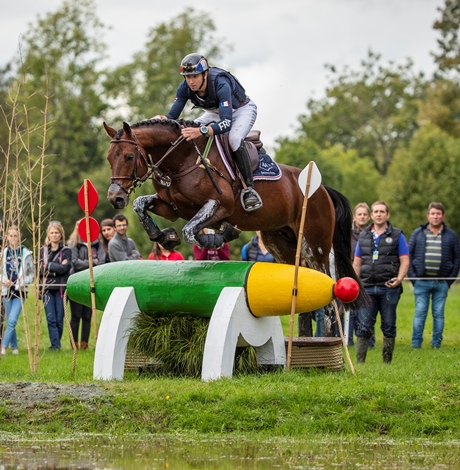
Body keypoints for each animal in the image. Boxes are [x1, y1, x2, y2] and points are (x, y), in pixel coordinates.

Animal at [104, 119, 366, 310]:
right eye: (109, 158)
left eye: (129, 156)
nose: (115, 198)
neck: (183, 161)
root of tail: (323, 190)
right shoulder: (171, 208)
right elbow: (140, 205)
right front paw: (166, 236)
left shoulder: (220, 206)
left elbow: (191, 230)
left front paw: (219, 235)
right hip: (281, 244)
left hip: (315, 246)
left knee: (329, 294)